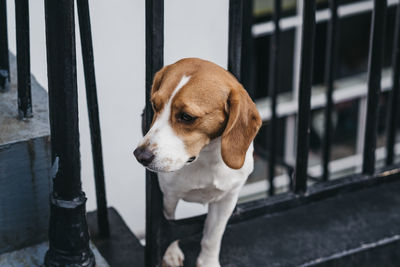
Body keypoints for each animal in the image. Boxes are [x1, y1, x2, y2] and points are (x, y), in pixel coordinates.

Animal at [134, 58, 262, 267]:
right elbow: (169, 228)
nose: (140, 155)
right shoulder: (168, 197)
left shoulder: (226, 200)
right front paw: (170, 255)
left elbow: (212, 236)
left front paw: (208, 262)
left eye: (187, 117)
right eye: (154, 105)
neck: (206, 157)